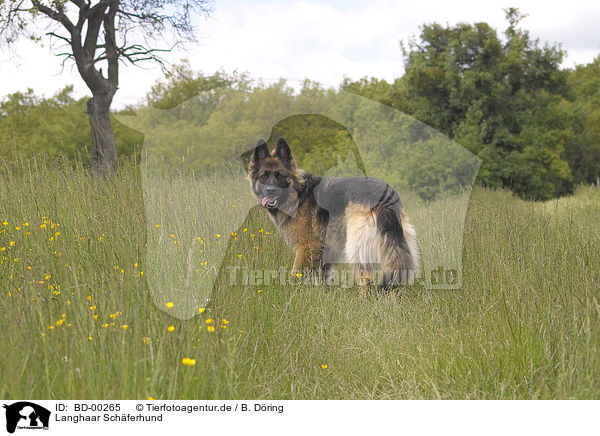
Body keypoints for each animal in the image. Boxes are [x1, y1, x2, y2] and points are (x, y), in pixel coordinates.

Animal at [246, 137, 420, 292]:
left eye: (280, 175)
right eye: (264, 176)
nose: (270, 190)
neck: (299, 193)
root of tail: (384, 194)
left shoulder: (307, 246)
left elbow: (295, 274)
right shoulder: (324, 249)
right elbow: (322, 277)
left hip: (355, 245)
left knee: (366, 278)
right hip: (399, 241)